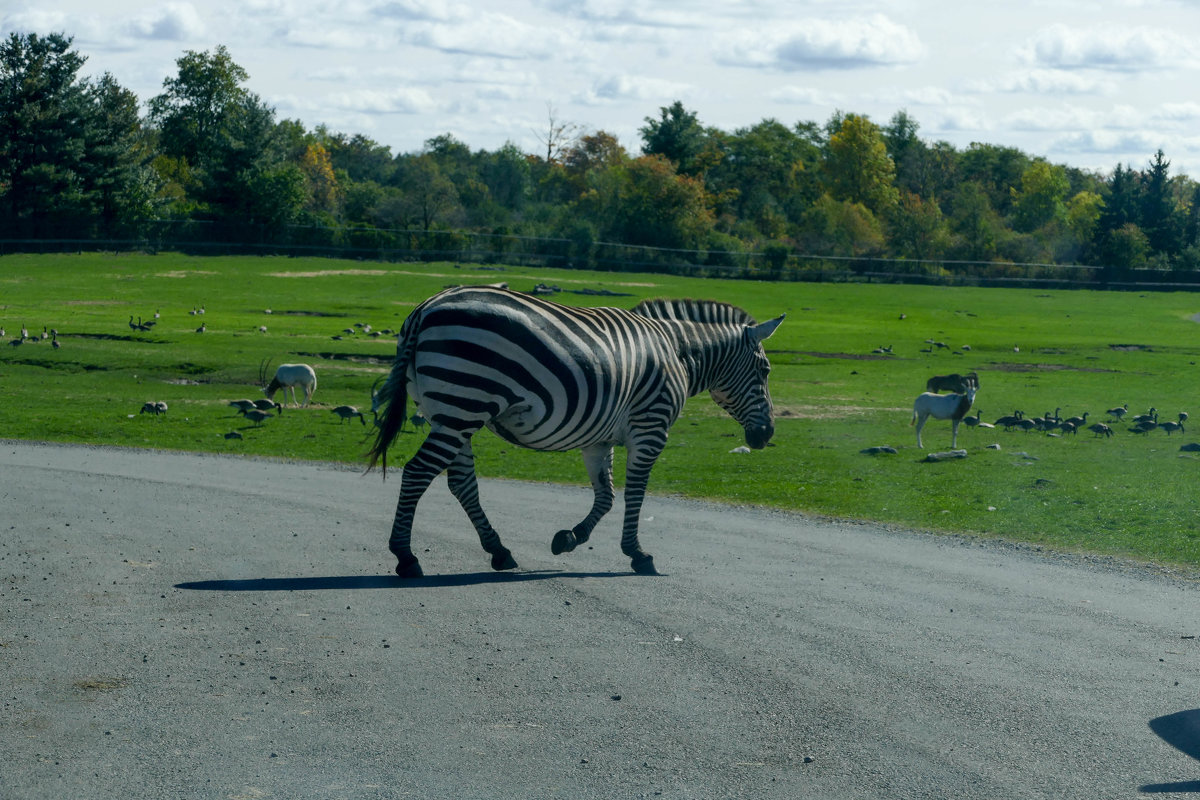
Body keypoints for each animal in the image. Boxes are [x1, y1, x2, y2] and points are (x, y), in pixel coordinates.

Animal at [369, 284, 787, 578]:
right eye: (765, 370)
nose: (765, 435)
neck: (677, 353)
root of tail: (426, 307)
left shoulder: (600, 438)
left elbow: (606, 496)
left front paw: (568, 539)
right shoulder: (650, 428)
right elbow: (635, 493)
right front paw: (638, 554)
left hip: (446, 411)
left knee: (461, 483)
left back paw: (500, 551)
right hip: (463, 403)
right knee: (418, 472)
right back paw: (406, 557)